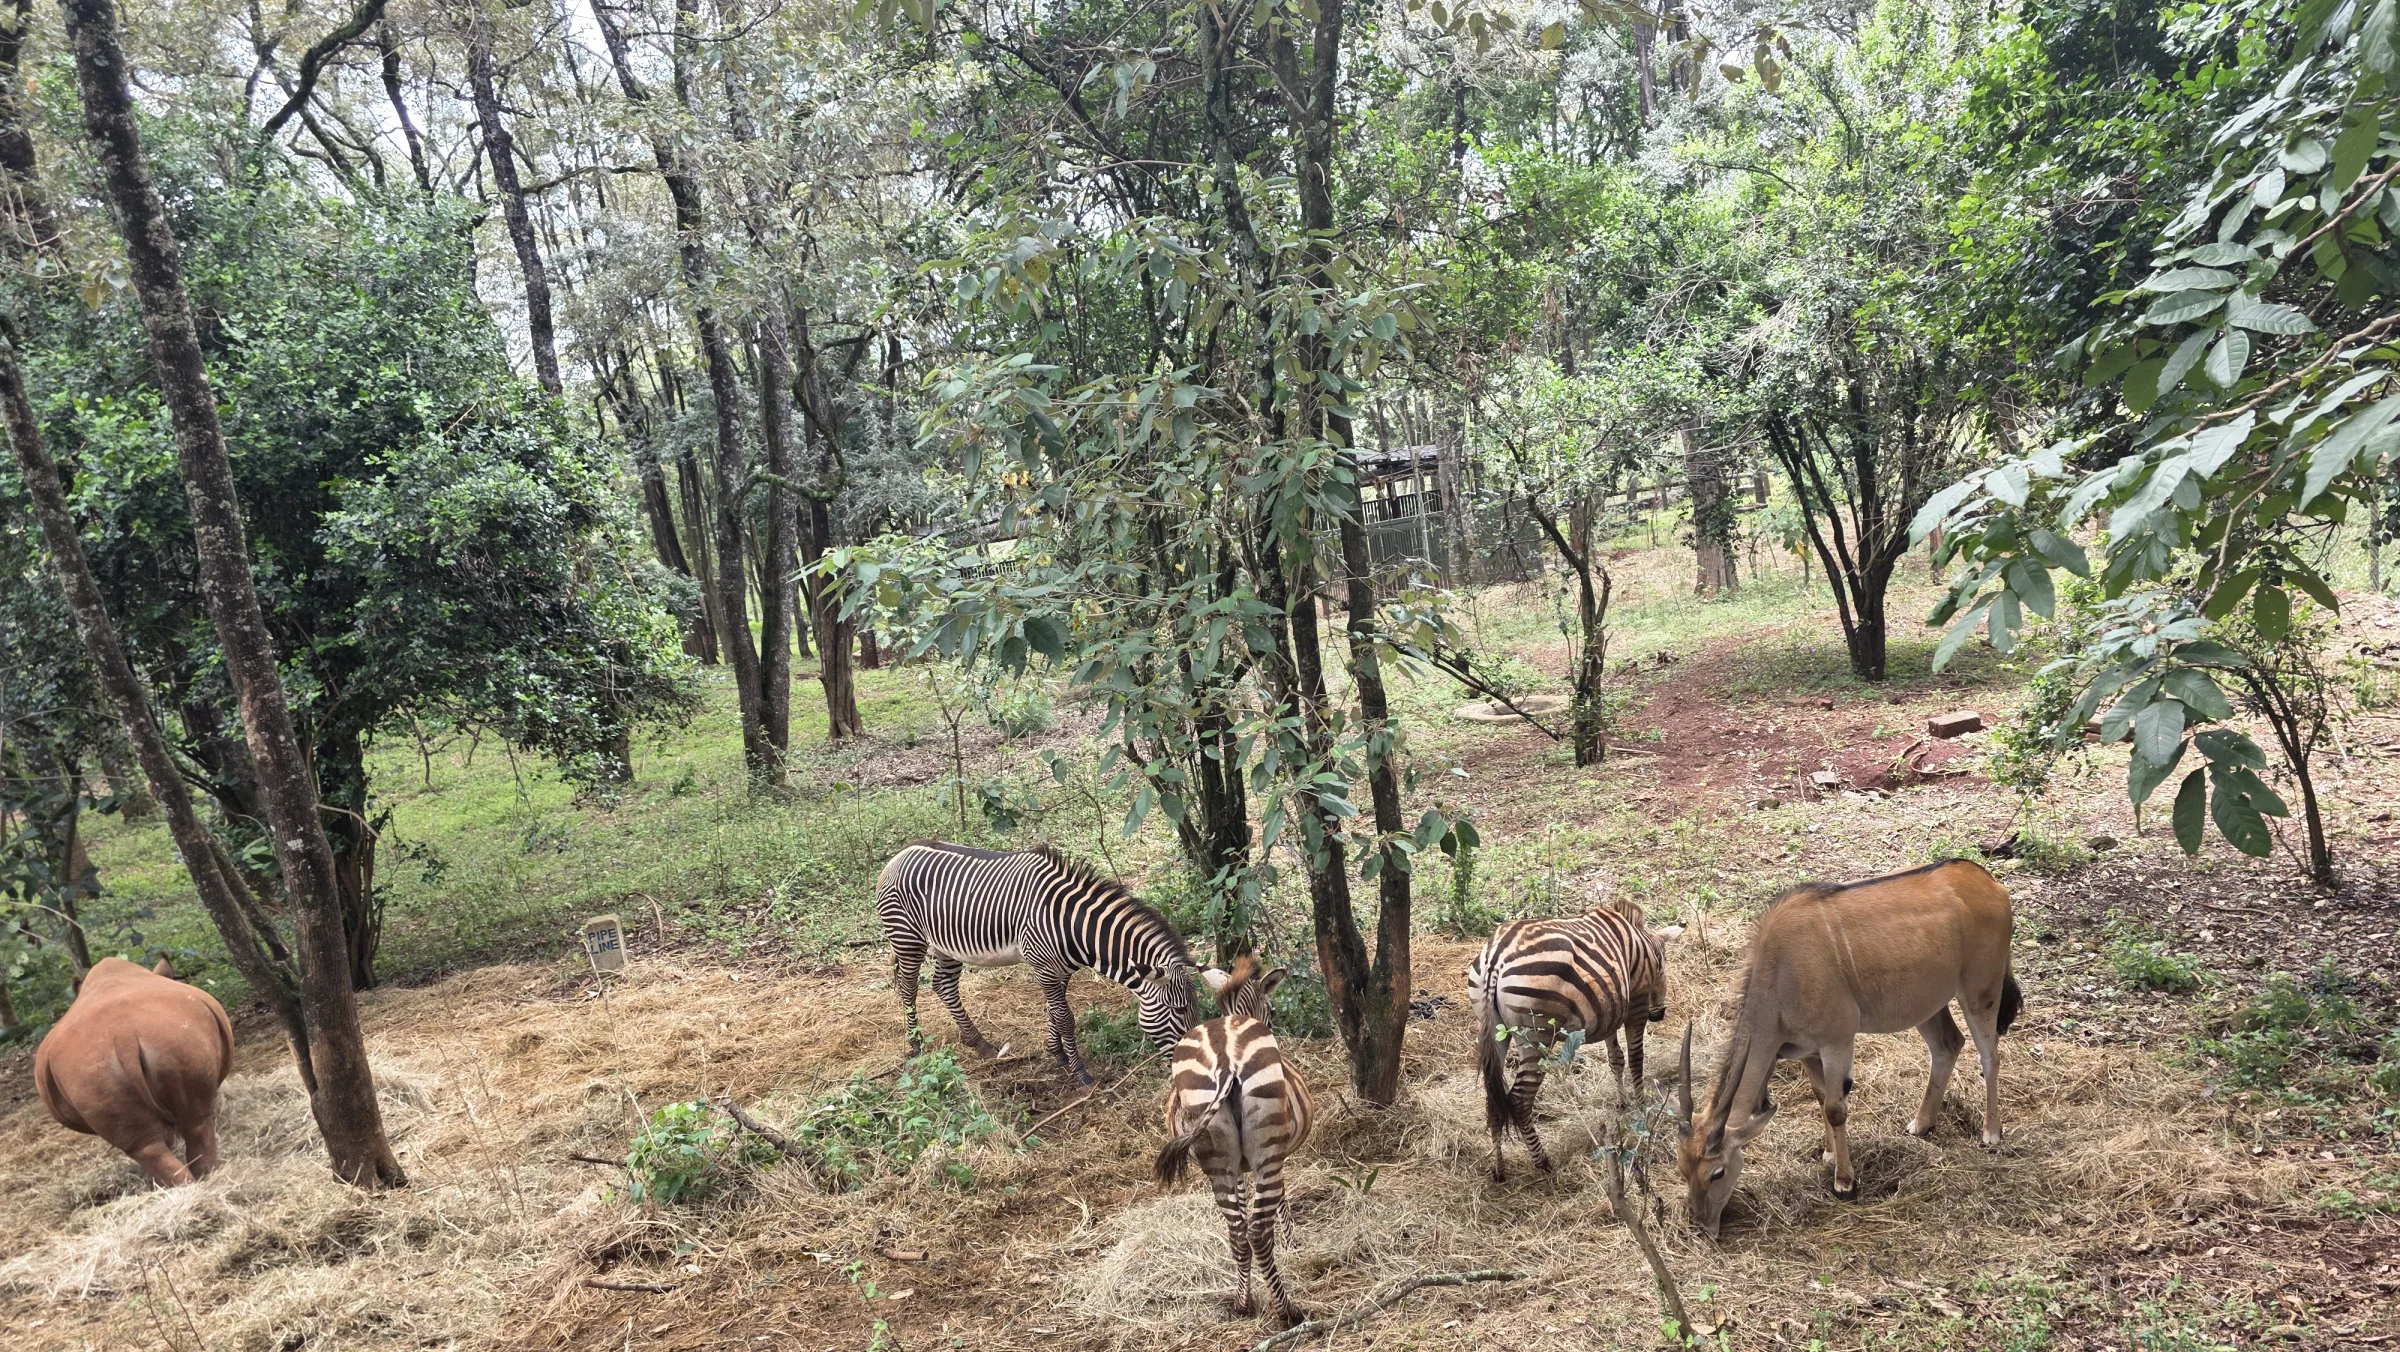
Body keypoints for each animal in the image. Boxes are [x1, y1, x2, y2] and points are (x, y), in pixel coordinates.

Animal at [876, 841, 1197, 1086]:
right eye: (1180, 1010)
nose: (1189, 1063)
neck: (1072, 925)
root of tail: (899, 854)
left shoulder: (1061, 970)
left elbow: (1055, 1013)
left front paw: (1058, 1054)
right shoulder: (1043, 966)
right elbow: (1065, 1018)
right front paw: (1079, 1073)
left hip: (946, 945)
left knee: (944, 986)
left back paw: (978, 1042)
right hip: (907, 938)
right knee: (908, 988)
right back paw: (916, 1045)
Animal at [1155, 956, 1314, 1329]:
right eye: (1272, 1010)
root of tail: (1227, 1060)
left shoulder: (1238, 1166)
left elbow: (1242, 1208)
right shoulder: (1273, 1156)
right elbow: (1279, 1204)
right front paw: (1293, 1243)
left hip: (1216, 1156)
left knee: (1239, 1234)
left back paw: (1243, 1303)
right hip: (1266, 1152)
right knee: (1257, 1233)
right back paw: (1288, 1312)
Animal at [1470, 897, 1671, 1181]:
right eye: (1663, 968)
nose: (1659, 1015)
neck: (1642, 946)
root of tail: (1495, 960)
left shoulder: (1610, 1007)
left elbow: (1616, 1059)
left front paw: (1622, 1103)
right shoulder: (1636, 1005)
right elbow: (1636, 1059)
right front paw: (1641, 1108)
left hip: (1492, 1030)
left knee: (1494, 1098)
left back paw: (1499, 1169)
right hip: (1536, 1037)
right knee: (1519, 1101)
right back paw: (1543, 1162)